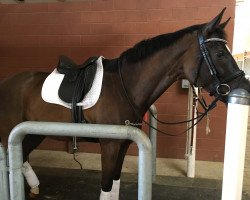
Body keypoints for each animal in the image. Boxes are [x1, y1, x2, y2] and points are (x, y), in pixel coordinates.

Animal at [0, 8, 250, 200]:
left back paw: (34, 187)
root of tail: (7, 83)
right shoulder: (109, 145)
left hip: (34, 133)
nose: (244, 87)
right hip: (11, 134)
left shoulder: (124, 144)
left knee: (22, 157)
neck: (124, 87)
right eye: (220, 53)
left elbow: (115, 184)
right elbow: (107, 187)